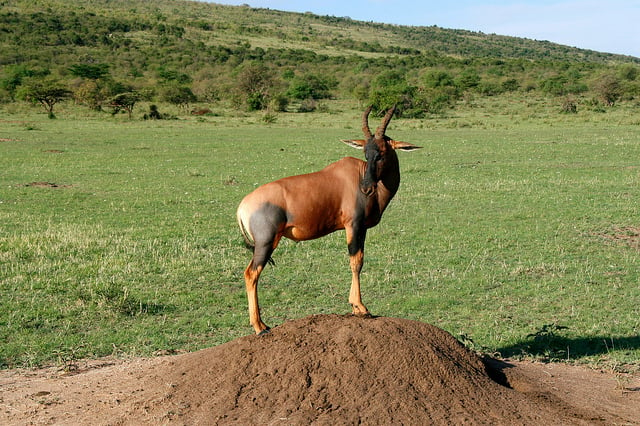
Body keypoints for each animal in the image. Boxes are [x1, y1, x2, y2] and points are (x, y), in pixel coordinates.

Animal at [235, 105, 420, 332]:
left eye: (382, 153)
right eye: (366, 153)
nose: (366, 188)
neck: (356, 175)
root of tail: (243, 206)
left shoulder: (362, 229)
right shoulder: (353, 226)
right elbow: (356, 261)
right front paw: (360, 307)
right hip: (266, 242)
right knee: (251, 273)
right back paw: (260, 327)